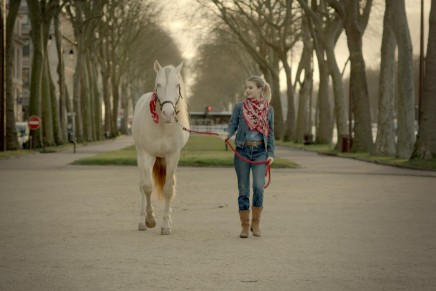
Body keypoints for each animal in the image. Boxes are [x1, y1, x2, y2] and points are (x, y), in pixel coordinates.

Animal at [131, 60, 189, 236]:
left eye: (177, 85)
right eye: (158, 84)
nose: (168, 114)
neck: (163, 126)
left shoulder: (173, 156)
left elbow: (168, 189)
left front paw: (166, 225)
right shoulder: (147, 155)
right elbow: (147, 187)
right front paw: (150, 220)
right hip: (141, 156)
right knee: (141, 185)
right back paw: (142, 221)